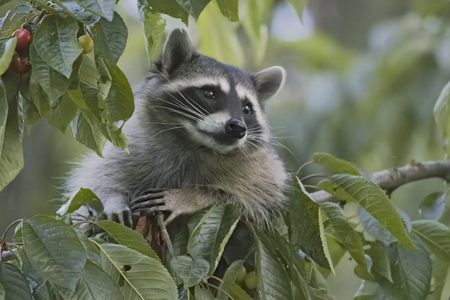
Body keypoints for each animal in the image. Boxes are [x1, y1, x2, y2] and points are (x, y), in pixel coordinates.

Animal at [65, 29, 286, 227]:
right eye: (209, 93)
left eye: (246, 108)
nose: (238, 127)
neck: (193, 142)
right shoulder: (134, 142)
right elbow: (97, 176)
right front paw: (112, 198)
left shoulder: (259, 168)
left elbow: (251, 194)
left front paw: (189, 196)